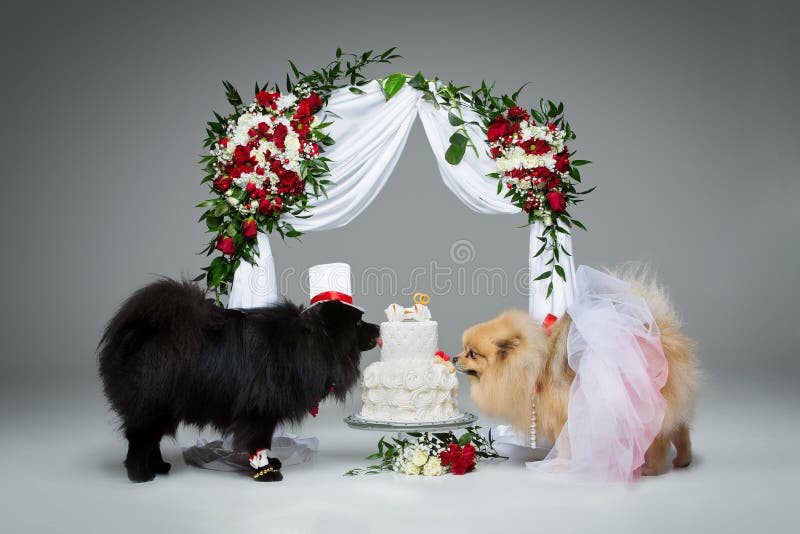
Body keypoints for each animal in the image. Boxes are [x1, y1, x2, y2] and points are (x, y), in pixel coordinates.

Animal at [98, 282, 380, 484]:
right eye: (358, 322)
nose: (377, 327)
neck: (309, 345)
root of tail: (140, 331)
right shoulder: (259, 413)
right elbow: (257, 442)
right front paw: (266, 472)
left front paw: (269, 463)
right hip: (153, 404)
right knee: (139, 440)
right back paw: (140, 474)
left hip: (164, 410)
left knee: (152, 441)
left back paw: (159, 466)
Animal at [456, 272, 700, 478]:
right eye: (464, 349)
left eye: (472, 353)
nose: (454, 358)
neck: (534, 366)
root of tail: (661, 333)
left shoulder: (563, 417)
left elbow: (565, 446)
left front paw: (560, 465)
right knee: (680, 429)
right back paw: (683, 460)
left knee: (660, 438)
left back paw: (652, 468)